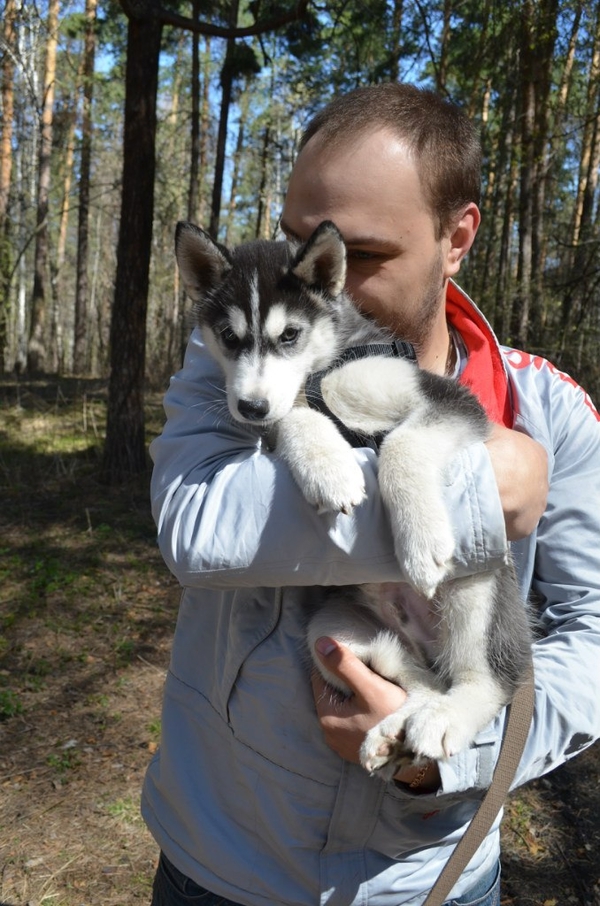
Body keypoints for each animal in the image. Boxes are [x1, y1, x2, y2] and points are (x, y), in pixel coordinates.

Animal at [173, 217, 528, 776]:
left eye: (289, 335)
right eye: (229, 338)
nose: (250, 407)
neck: (322, 369)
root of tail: (421, 635)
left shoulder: (449, 399)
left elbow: (401, 443)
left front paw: (419, 541)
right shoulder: (282, 415)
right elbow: (294, 417)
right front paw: (328, 467)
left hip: (480, 582)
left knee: (489, 681)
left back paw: (446, 716)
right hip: (334, 630)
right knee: (425, 681)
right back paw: (393, 731)